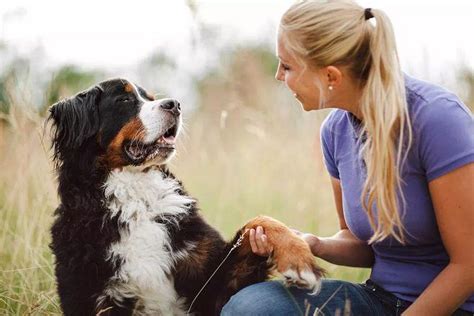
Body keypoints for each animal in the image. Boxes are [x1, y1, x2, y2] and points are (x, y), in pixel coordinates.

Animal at [48, 79, 324, 316]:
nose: (174, 104)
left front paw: (299, 261)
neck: (136, 199)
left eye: (150, 98)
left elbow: (261, 221)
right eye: (124, 99)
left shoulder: (213, 282)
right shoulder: (87, 294)